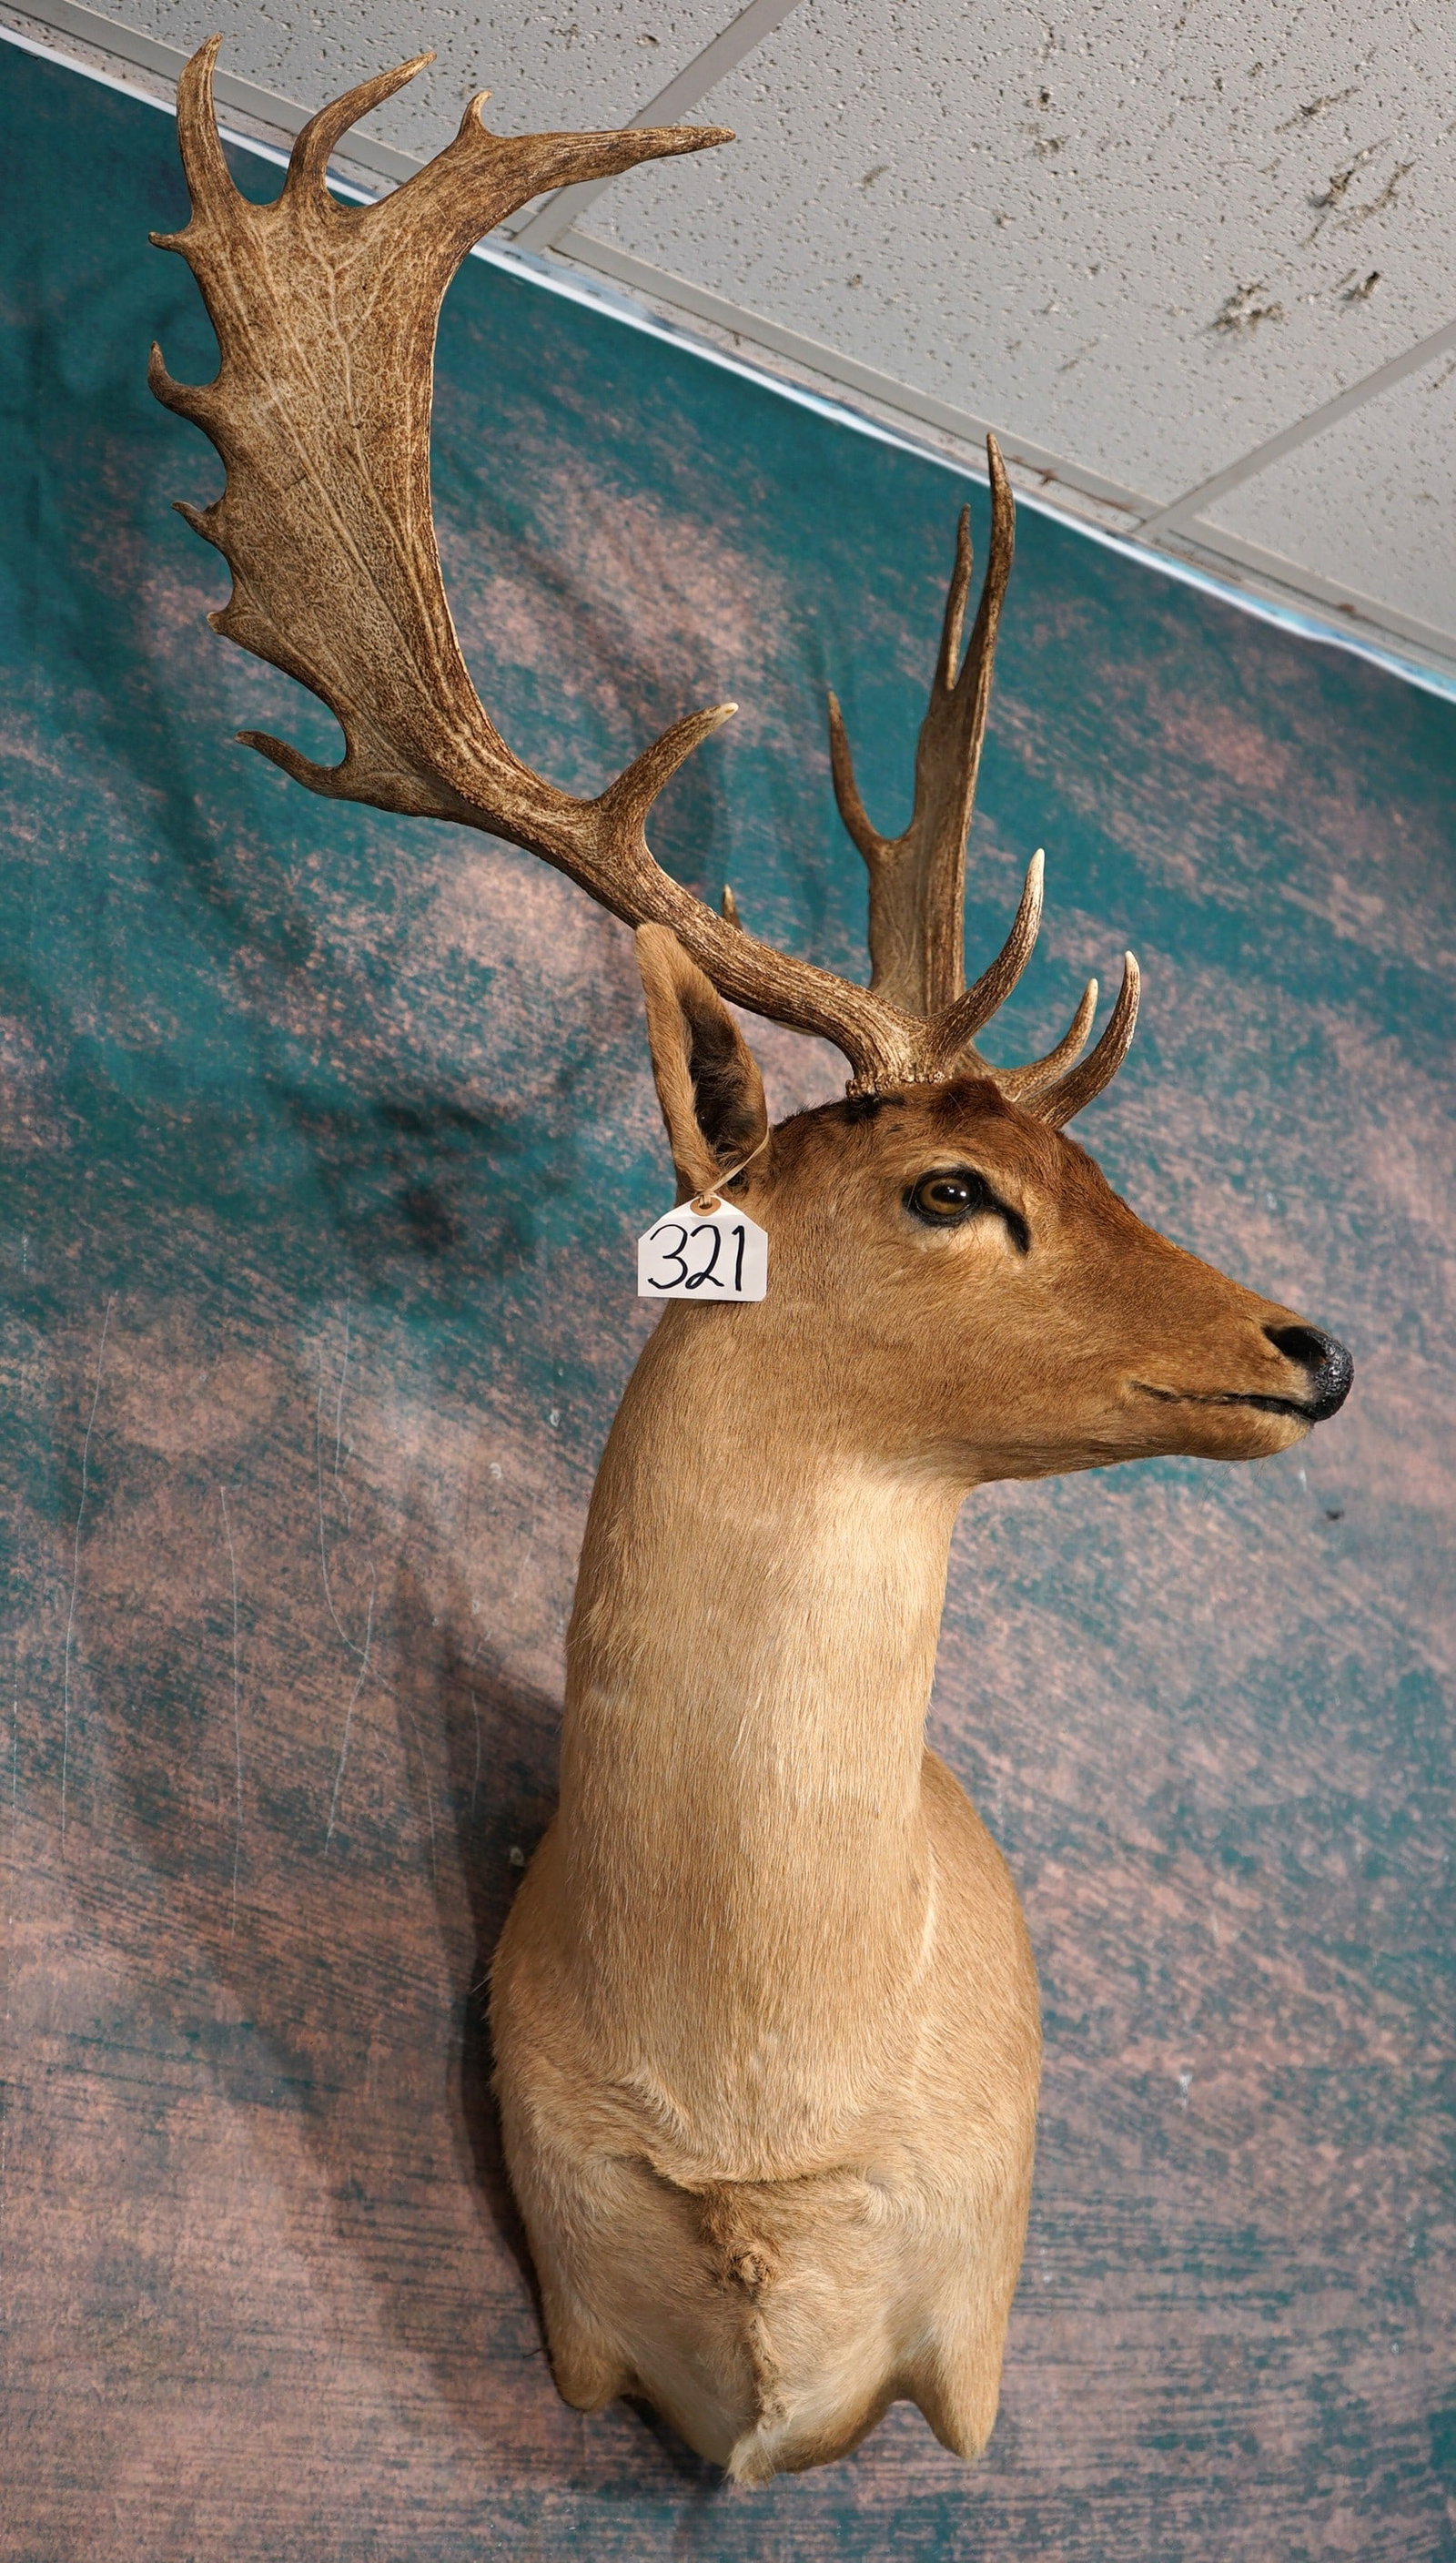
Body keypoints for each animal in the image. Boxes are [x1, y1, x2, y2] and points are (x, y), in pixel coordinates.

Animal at [150, 43, 1354, 2484]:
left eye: (1093, 1162)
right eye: (950, 1189)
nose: (1313, 1343)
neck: (756, 2107)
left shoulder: (970, 2354)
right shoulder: (572, 2328)